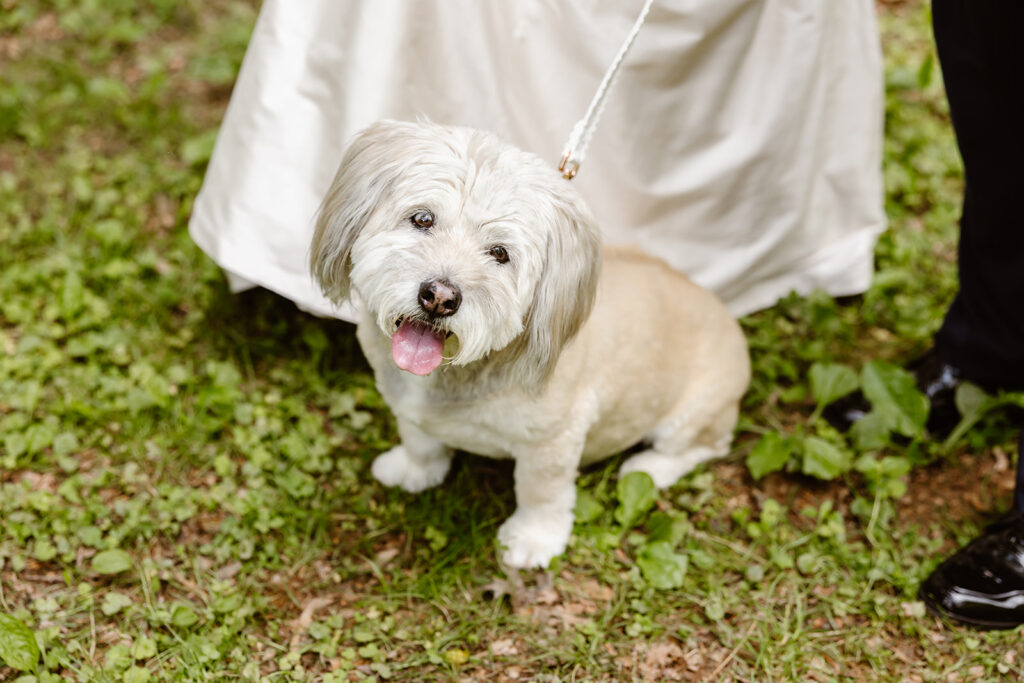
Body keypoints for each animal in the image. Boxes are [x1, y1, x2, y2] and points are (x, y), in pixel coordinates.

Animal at [307, 120, 749, 569]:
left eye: (500, 253)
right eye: (423, 218)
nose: (440, 298)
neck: (456, 371)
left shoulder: (553, 442)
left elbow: (541, 494)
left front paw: (533, 540)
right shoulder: (407, 408)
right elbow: (419, 440)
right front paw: (414, 470)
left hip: (692, 416)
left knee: (705, 447)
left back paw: (649, 468)